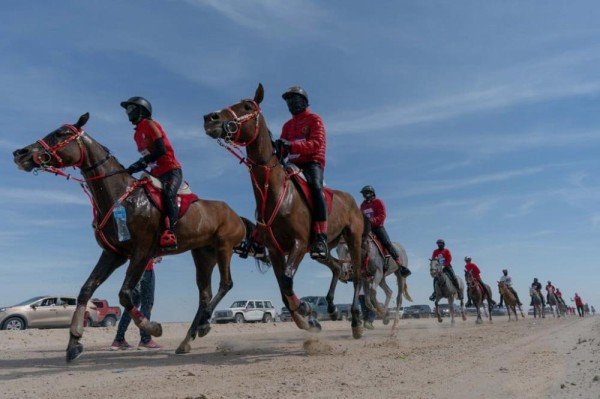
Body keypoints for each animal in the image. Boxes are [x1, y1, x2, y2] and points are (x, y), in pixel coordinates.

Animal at [11, 113, 264, 362]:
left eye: (61, 134)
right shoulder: (113, 254)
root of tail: (236, 215)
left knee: (225, 284)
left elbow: (124, 295)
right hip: (203, 254)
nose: (20, 153)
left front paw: (152, 327)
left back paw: (202, 326)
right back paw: (189, 338)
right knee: (204, 294)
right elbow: (86, 289)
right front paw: (74, 342)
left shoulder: (142, 251)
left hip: (224, 246)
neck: (120, 196)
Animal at [203, 83, 366, 340]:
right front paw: (309, 320)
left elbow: (288, 282)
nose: (211, 118)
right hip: (322, 249)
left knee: (357, 274)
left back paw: (357, 321)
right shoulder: (275, 250)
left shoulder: (298, 243)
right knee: (337, 267)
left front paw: (305, 309)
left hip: (353, 238)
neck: (276, 191)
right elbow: (283, 289)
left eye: (247, 106)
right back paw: (330, 307)